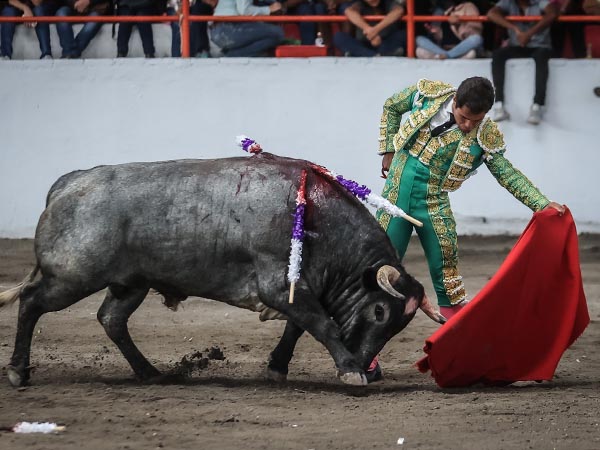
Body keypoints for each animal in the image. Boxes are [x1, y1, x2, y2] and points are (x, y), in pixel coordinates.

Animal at [1, 152, 446, 386]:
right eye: (379, 311)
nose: (369, 365)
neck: (318, 221)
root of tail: (69, 183)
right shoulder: (279, 284)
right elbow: (322, 325)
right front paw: (350, 371)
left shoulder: (297, 287)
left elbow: (298, 326)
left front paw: (277, 367)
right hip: (72, 276)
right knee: (31, 301)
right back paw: (19, 371)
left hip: (130, 283)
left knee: (111, 319)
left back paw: (149, 372)